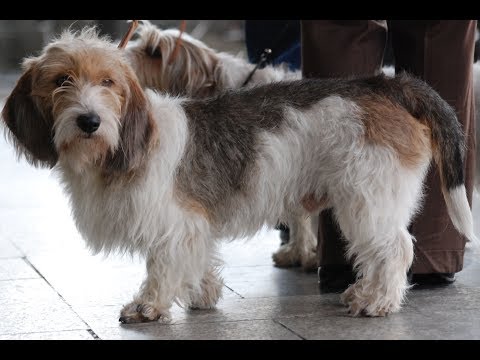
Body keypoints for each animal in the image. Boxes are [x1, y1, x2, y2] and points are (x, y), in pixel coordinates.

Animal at [0, 26, 476, 322]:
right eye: (61, 81)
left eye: (108, 83)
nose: (89, 121)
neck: (119, 148)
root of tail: (388, 84)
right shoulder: (194, 227)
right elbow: (198, 260)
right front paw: (203, 293)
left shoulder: (173, 224)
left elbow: (161, 266)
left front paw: (149, 306)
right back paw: (362, 292)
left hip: (368, 199)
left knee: (396, 249)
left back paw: (379, 301)